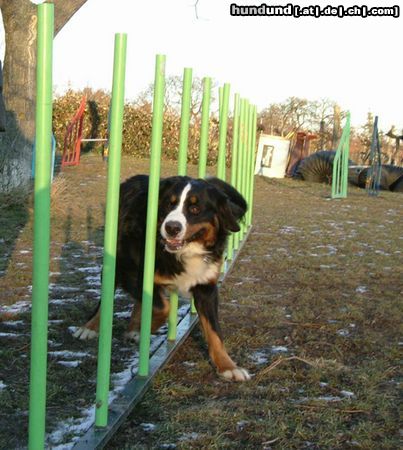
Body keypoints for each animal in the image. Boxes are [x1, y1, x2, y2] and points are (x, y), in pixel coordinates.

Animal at [72, 174, 249, 382]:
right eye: (167, 205)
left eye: (195, 209)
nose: (172, 227)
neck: (181, 253)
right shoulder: (129, 271)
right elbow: (163, 307)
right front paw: (141, 330)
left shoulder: (206, 287)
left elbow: (214, 332)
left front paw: (228, 366)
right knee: (106, 302)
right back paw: (90, 328)